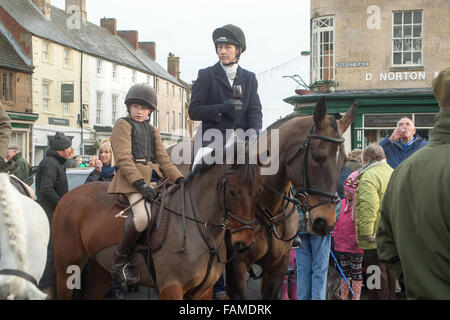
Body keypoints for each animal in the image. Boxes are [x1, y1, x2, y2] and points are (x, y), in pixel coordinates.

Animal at [51, 148, 264, 300]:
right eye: (233, 192)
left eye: (259, 190)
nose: (245, 243)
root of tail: (69, 195)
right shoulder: (171, 288)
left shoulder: (203, 291)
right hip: (66, 268)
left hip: (101, 269)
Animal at [227, 97, 356, 300]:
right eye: (317, 156)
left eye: (344, 161)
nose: (325, 223)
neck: (269, 211)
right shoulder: (236, 267)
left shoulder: (279, 265)